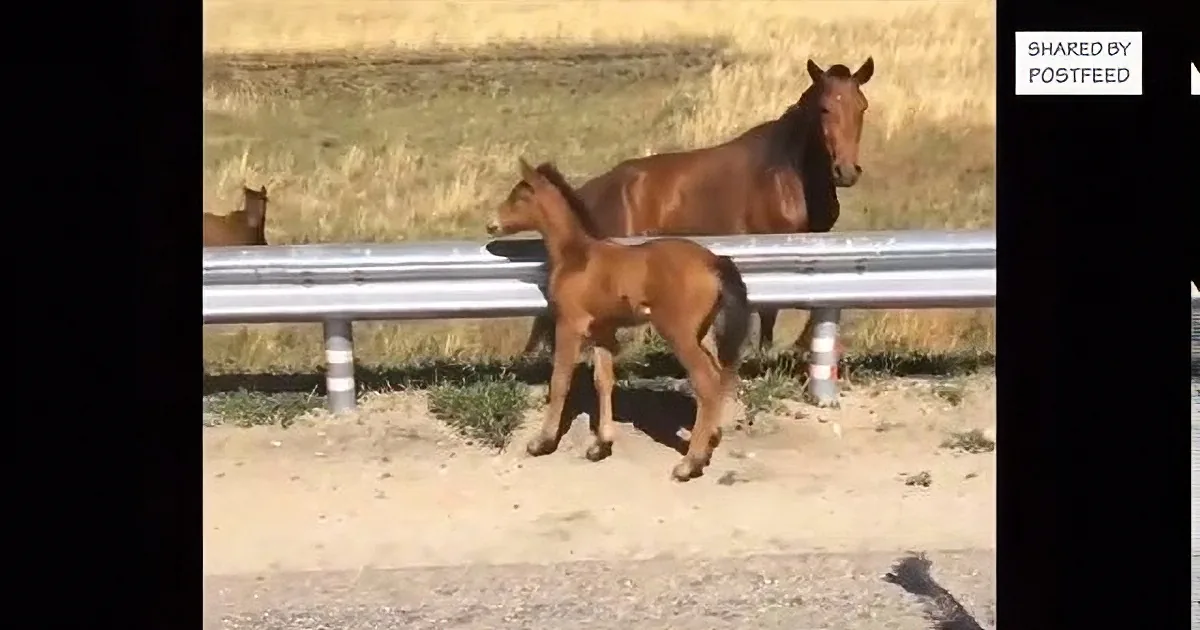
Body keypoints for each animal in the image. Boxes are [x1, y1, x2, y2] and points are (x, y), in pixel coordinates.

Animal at [487, 158, 751, 482]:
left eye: (519, 196)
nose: (491, 224)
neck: (577, 257)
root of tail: (714, 262)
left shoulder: (569, 326)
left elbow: (560, 381)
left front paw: (542, 442)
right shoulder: (602, 330)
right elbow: (603, 380)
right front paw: (601, 445)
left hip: (679, 334)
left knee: (706, 383)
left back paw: (689, 464)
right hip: (701, 332)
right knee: (717, 375)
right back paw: (709, 440)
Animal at [516, 57, 874, 356]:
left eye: (862, 107)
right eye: (825, 108)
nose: (845, 171)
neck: (787, 174)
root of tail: (590, 190)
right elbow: (770, 312)